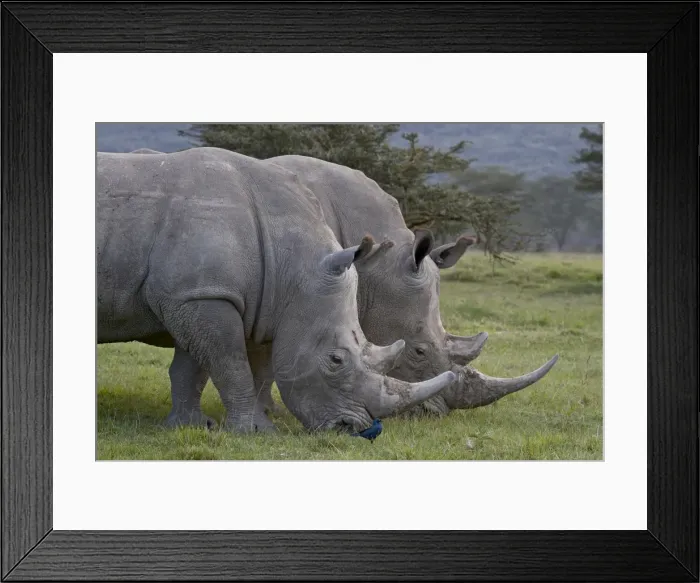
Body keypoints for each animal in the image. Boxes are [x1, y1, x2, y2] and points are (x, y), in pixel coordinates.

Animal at [97, 147, 457, 433]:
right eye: (336, 360)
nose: (350, 427)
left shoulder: (199, 294)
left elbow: (195, 367)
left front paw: (192, 426)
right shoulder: (205, 295)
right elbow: (231, 364)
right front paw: (252, 432)